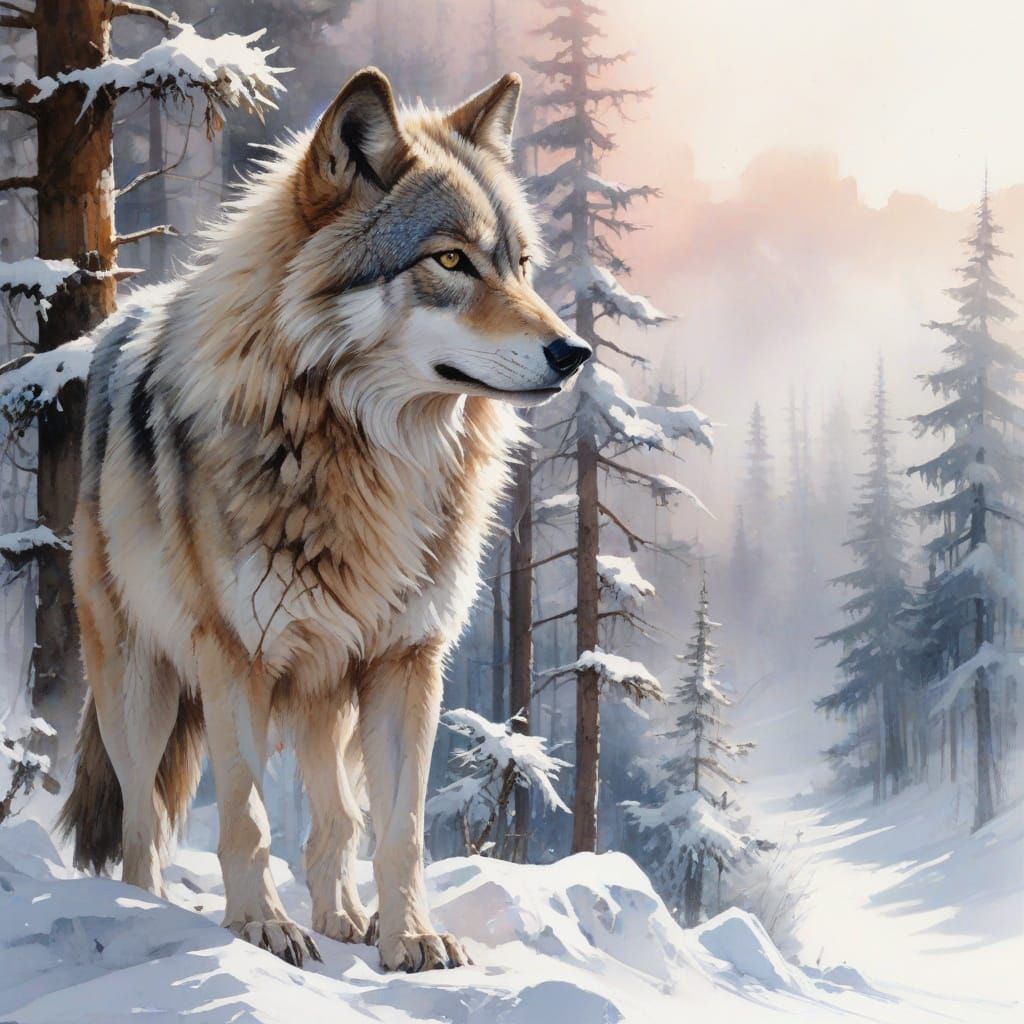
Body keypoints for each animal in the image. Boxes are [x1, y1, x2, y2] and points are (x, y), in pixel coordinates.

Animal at [58, 67, 590, 972]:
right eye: (451, 260)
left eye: (520, 266)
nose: (575, 352)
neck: (372, 461)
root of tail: (118, 321)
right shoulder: (234, 659)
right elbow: (246, 817)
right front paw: (260, 928)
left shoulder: (407, 661)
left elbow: (398, 830)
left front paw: (409, 937)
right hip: (141, 683)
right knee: (141, 823)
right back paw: (149, 912)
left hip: (325, 690)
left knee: (336, 817)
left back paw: (345, 917)